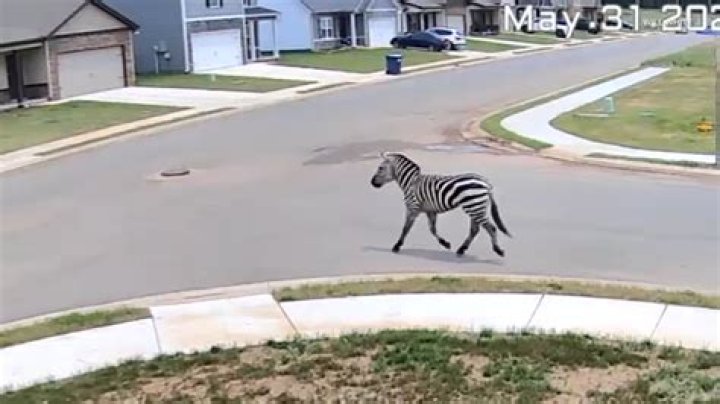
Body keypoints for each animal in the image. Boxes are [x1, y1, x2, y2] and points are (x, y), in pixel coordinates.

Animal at [370, 152, 511, 257]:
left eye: (380, 168)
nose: (372, 183)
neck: (411, 183)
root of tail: (486, 183)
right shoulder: (430, 211)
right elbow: (432, 230)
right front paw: (445, 243)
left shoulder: (412, 208)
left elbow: (406, 228)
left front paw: (397, 246)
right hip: (475, 207)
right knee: (475, 229)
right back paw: (461, 249)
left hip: (474, 207)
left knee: (491, 228)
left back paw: (498, 250)